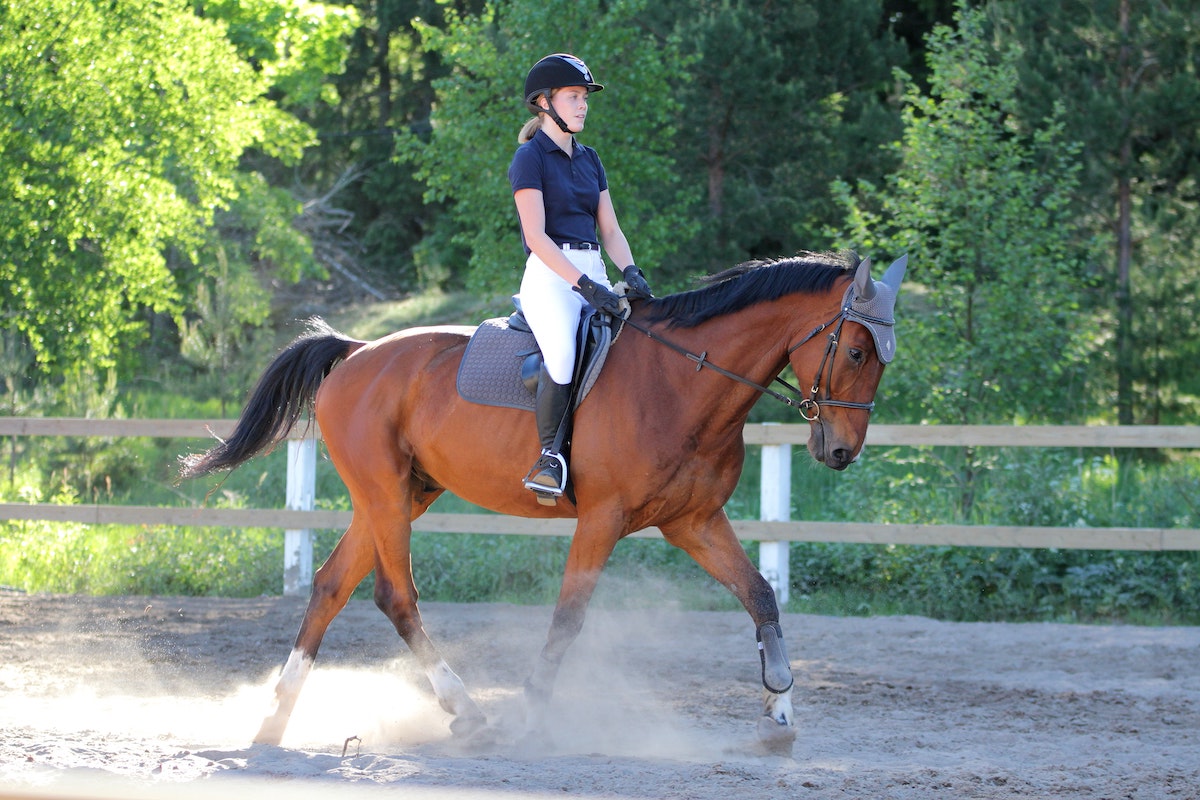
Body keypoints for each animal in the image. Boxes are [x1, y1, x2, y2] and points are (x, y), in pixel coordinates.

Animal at [180, 250, 907, 754]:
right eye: (857, 350)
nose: (841, 452)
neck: (684, 381)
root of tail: (358, 350)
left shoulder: (692, 522)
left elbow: (760, 594)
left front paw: (780, 712)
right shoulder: (604, 519)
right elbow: (566, 621)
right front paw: (528, 717)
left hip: (401, 496)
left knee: (331, 586)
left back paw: (275, 721)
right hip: (385, 497)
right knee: (395, 596)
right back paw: (468, 713)